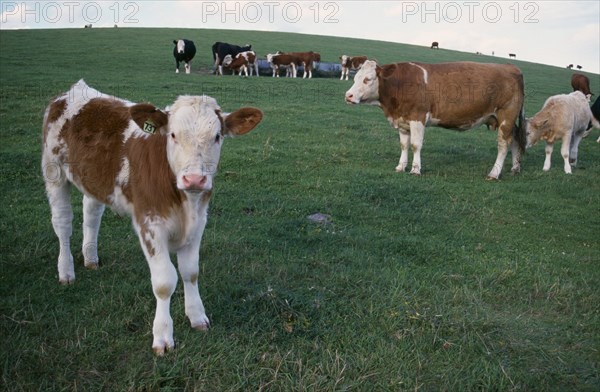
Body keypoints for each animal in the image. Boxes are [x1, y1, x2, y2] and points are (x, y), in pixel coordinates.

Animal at [43, 79, 264, 356]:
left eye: (217, 136)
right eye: (173, 135)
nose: (194, 179)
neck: (184, 202)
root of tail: (74, 90)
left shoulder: (199, 222)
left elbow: (191, 272)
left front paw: (197, 316)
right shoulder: (149, 224)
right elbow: (164, 282)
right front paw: (163, 336)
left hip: (94, 180)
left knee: (91, 213)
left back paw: (91, 258)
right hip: (53, 172)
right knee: (62, 224)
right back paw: (66, 271)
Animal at [346, 59, 524, 179]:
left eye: (368, 79)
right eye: (354, 78)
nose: (348, 96)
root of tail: (510, 66)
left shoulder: (418, 117)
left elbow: (415, 145)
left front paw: (415, 169)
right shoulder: (403, 121)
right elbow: (404, 145)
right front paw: (400, 166)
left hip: (506, 116)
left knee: (503, 145)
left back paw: (494, 173)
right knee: (515, 139)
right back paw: (515, 168)